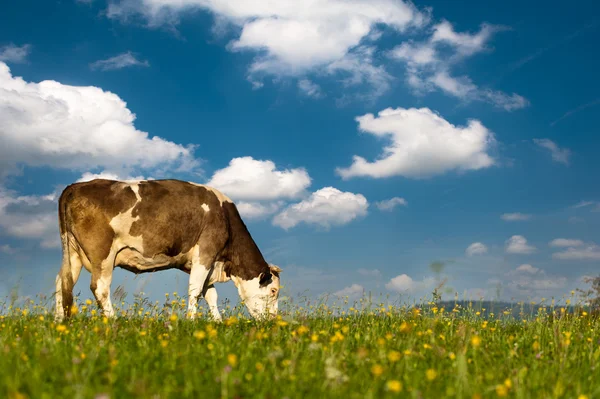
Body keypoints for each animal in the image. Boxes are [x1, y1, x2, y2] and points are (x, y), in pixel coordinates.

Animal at [54, 180, 282, 324]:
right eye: (273, 291)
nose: (273, 322)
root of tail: (76, 186)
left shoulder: (206, 261)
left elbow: (210, 294)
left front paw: (217, 322)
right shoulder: (206, 252)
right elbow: (195, 290)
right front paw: (191, 322)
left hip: (72, 252)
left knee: (62, 282)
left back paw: (59, 322)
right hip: (102, 253)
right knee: (100, 287)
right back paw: (113, 321)